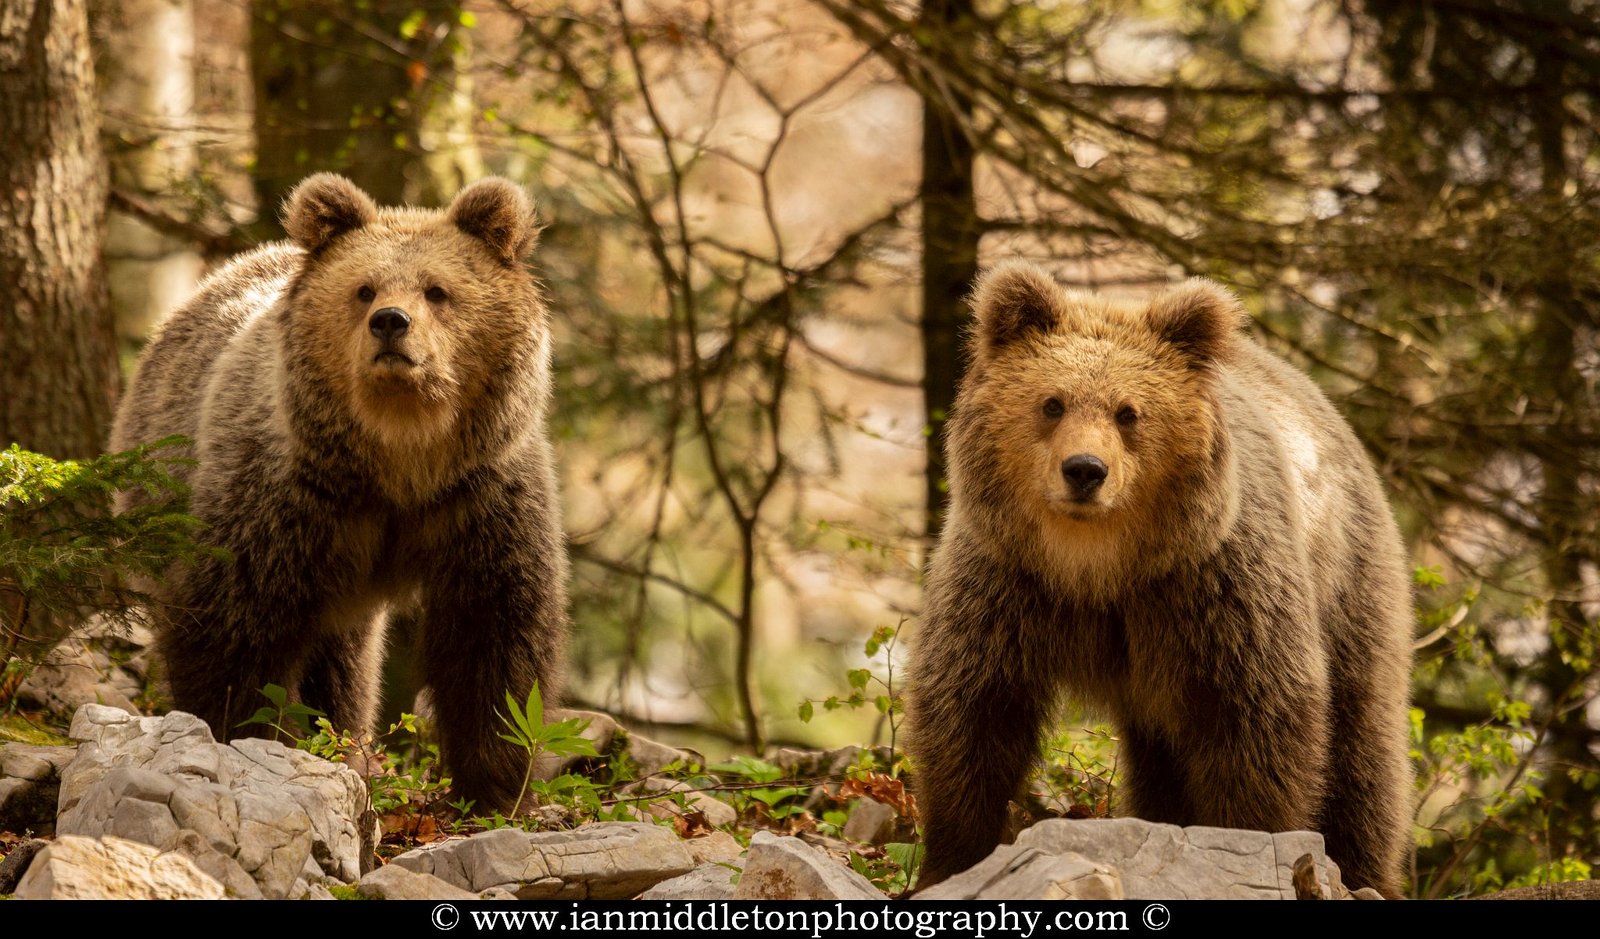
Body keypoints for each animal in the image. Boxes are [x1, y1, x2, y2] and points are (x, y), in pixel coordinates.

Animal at [111, 175, 569, 815]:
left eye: (437, 290)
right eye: (364, 288)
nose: (391, 322)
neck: (401, 459)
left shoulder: (480, 498)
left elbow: (495, 638)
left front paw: (497, 790)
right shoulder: (287, 497)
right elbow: (235, 628)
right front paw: (245, 740)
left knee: (345, 660)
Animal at [915, 262, 1414, 895]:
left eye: (1128, 412)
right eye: (1052, 403)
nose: (1085, 470)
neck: (1099, 567)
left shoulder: (1213, 589)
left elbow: (1256, 716)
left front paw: (1251, 842)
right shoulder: (1010, 582)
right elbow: (974, 709)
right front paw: (950, 861)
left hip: (1348, 581)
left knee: (1361, 744)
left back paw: (1367, 868)